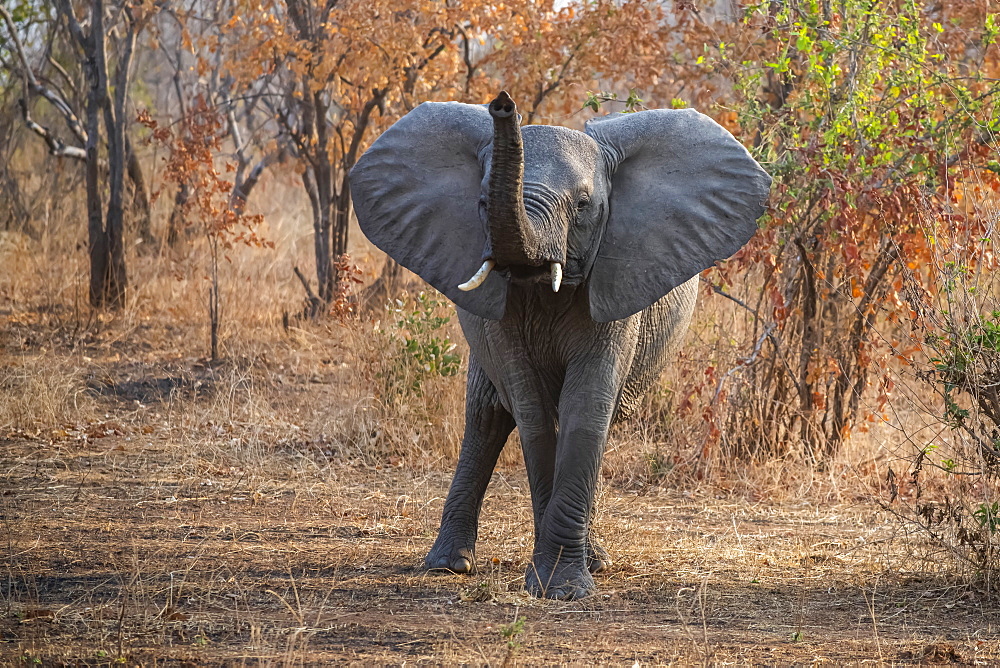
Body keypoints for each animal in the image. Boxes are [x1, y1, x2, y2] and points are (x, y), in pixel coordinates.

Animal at [348, 90, 768, 600]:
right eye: (481, 201)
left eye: (584, 205)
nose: (502, 104)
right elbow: (532, 415)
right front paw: (553, 580)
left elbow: (585, 411)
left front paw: (565, 587)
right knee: (486, 418)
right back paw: (450, 565)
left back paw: (596, 559)